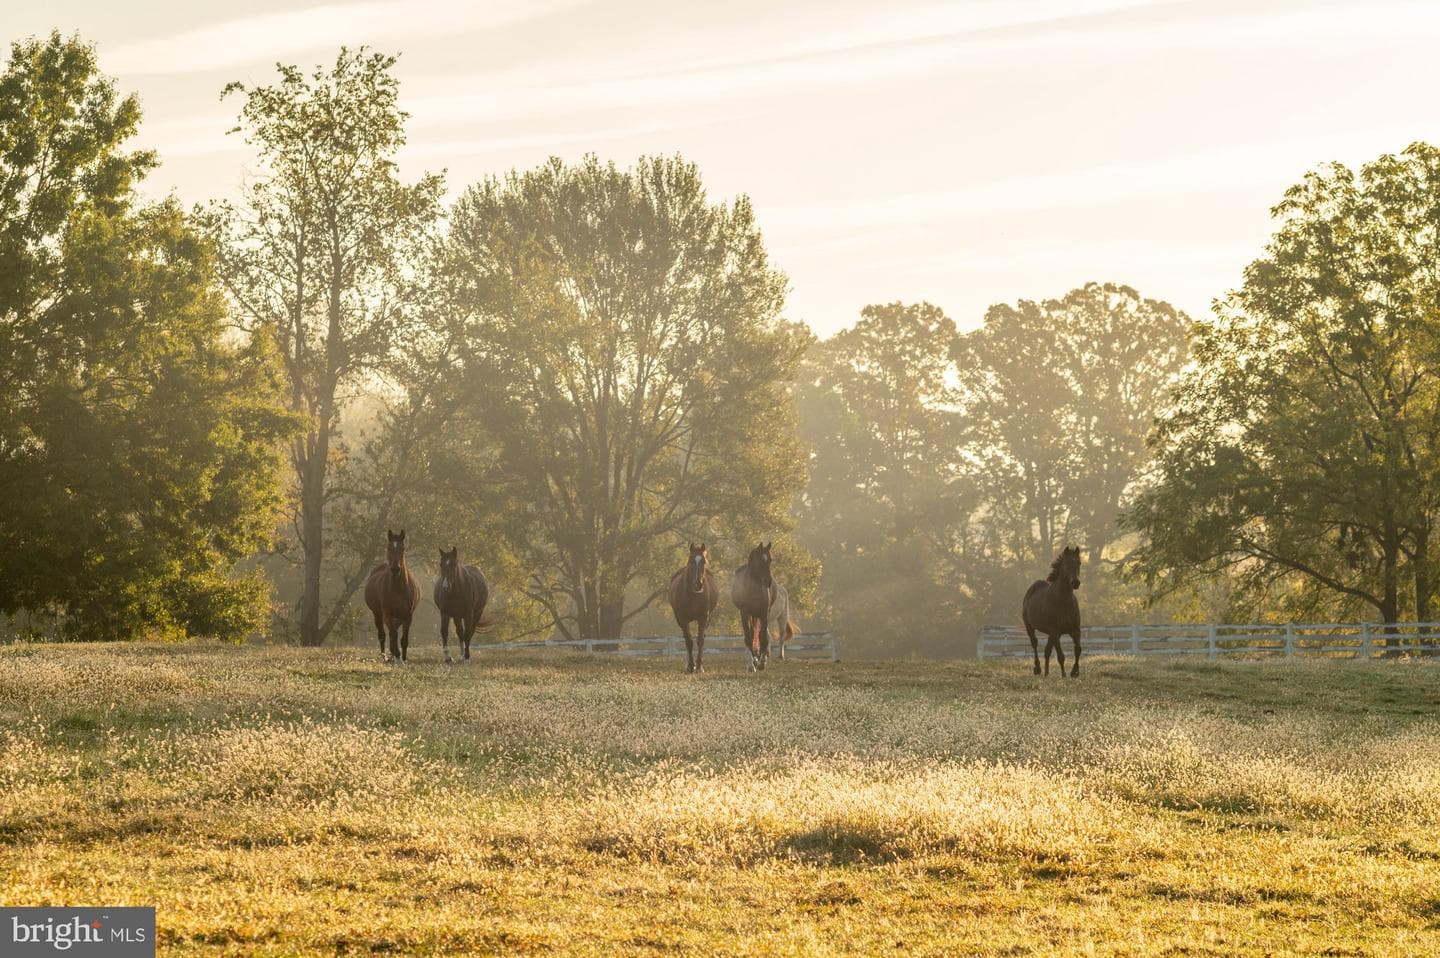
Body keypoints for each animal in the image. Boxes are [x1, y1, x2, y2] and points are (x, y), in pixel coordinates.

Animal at [364, 529, 422, 663]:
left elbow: (404, 639)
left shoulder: (408, 616)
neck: (398, 589)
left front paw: (403, 658)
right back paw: (385, 656)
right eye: (389, 547)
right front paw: (397, 655)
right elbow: (393, 635)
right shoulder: (388, 614)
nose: (395, 569)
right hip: (378, 614)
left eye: (402, 548)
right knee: (383, 635)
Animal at [668, 542, 719, 673]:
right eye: (691, 560)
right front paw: (691, 666)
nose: (698, 584)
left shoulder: (703, 618)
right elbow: (689, 641)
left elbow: (700, 640)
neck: (693, 595)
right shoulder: (683, 619)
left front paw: (699, 667)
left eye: (704, 561)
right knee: (686, 639)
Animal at [731, 541, 775, 672]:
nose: (768, 581)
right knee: (750, 634)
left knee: (758, 634)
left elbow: (763, 637)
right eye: (760, 560)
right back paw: (753, 660)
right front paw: (751, 664)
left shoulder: (764, 613)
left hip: (757, 615)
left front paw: (762, 663)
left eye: (770, 559)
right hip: (750, 615)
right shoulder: (745, 613)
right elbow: (749, 637)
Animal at [1022, 545, 1082, 677]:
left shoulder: (1075, 630)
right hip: (1030, 627)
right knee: (1035, 643)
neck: (1063, 601)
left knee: (1047, 650)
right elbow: (1061, 656)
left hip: (1051, 633)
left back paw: (1046, 673)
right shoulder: (1055, 631)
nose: (1075, 583)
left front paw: (1074, 672)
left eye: (1079, 563)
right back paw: (1038, 669)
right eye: (1066, 563)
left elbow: (1078, 650)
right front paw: (1064, 675)